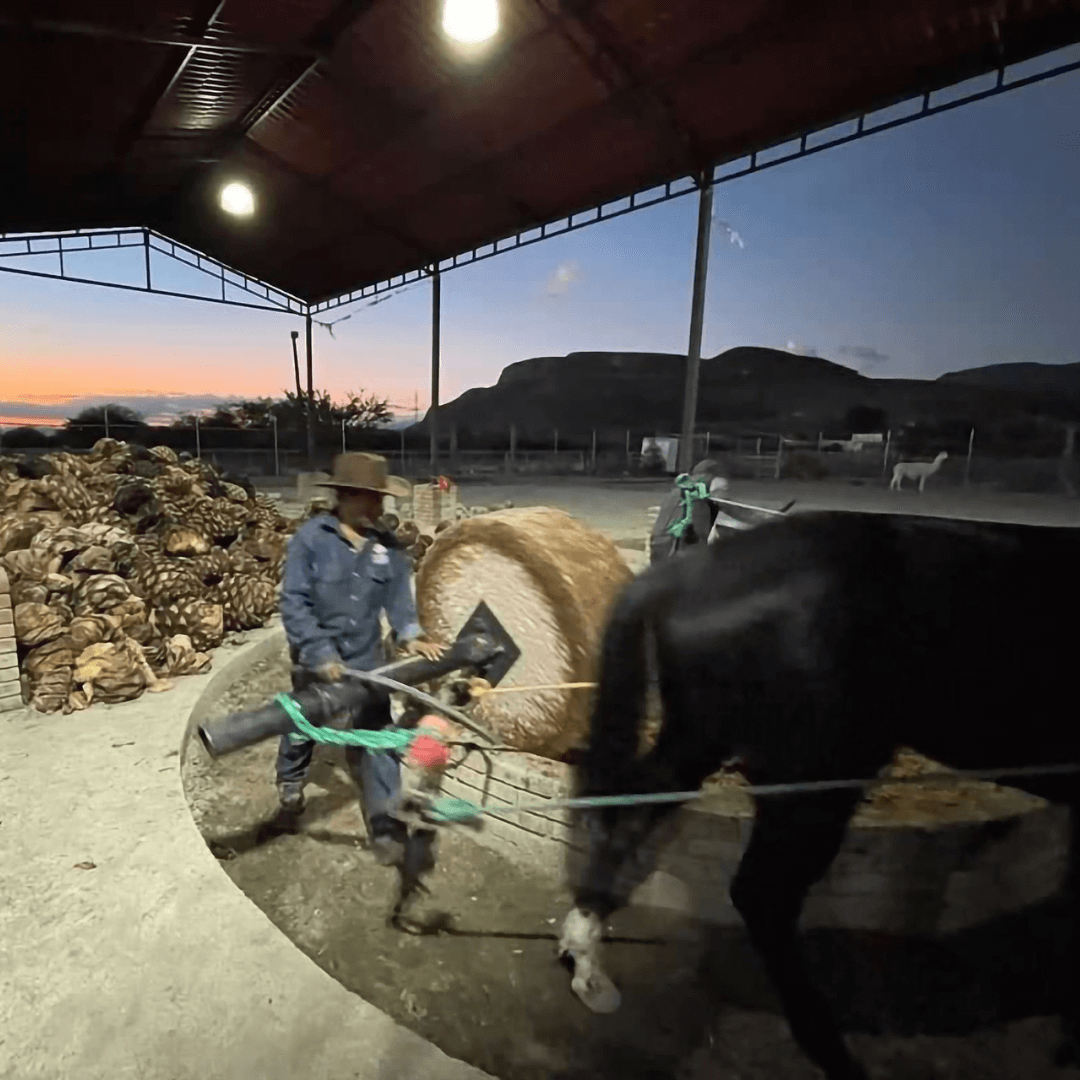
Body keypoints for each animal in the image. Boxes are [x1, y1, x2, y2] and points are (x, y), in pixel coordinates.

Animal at [561, 511, 1075, 1080]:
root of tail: (685, 574)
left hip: (706, 737)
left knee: (633, 811)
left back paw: (587, 962)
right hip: (819, 774)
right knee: (761, 892)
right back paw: (832, 1052)